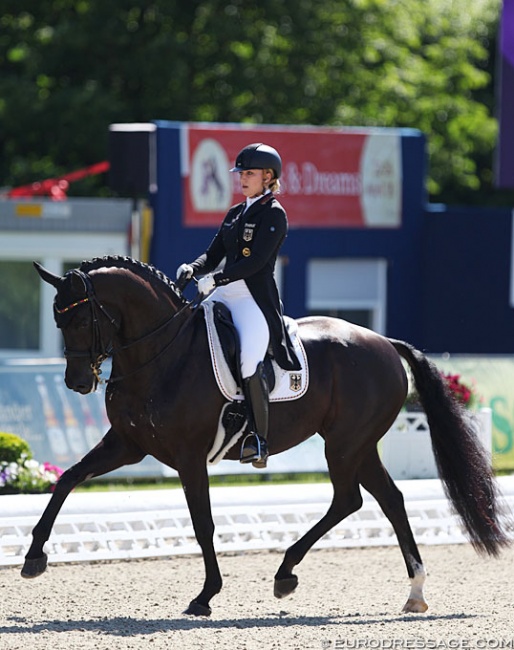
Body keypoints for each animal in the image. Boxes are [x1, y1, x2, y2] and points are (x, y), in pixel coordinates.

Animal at [22, 254, 506, 612]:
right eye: (57, 320)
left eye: (81, 320)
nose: (77, 382)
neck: (161, 354)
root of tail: (385, 343)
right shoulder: (128, 444)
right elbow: (67, 480)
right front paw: (33, 558)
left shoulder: (189, 456)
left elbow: (203, 523)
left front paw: (205, 596)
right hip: (358, 445)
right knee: (388, 500)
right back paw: (412, 591)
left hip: (345, 445)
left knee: (350, 499)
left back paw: (287, 573)